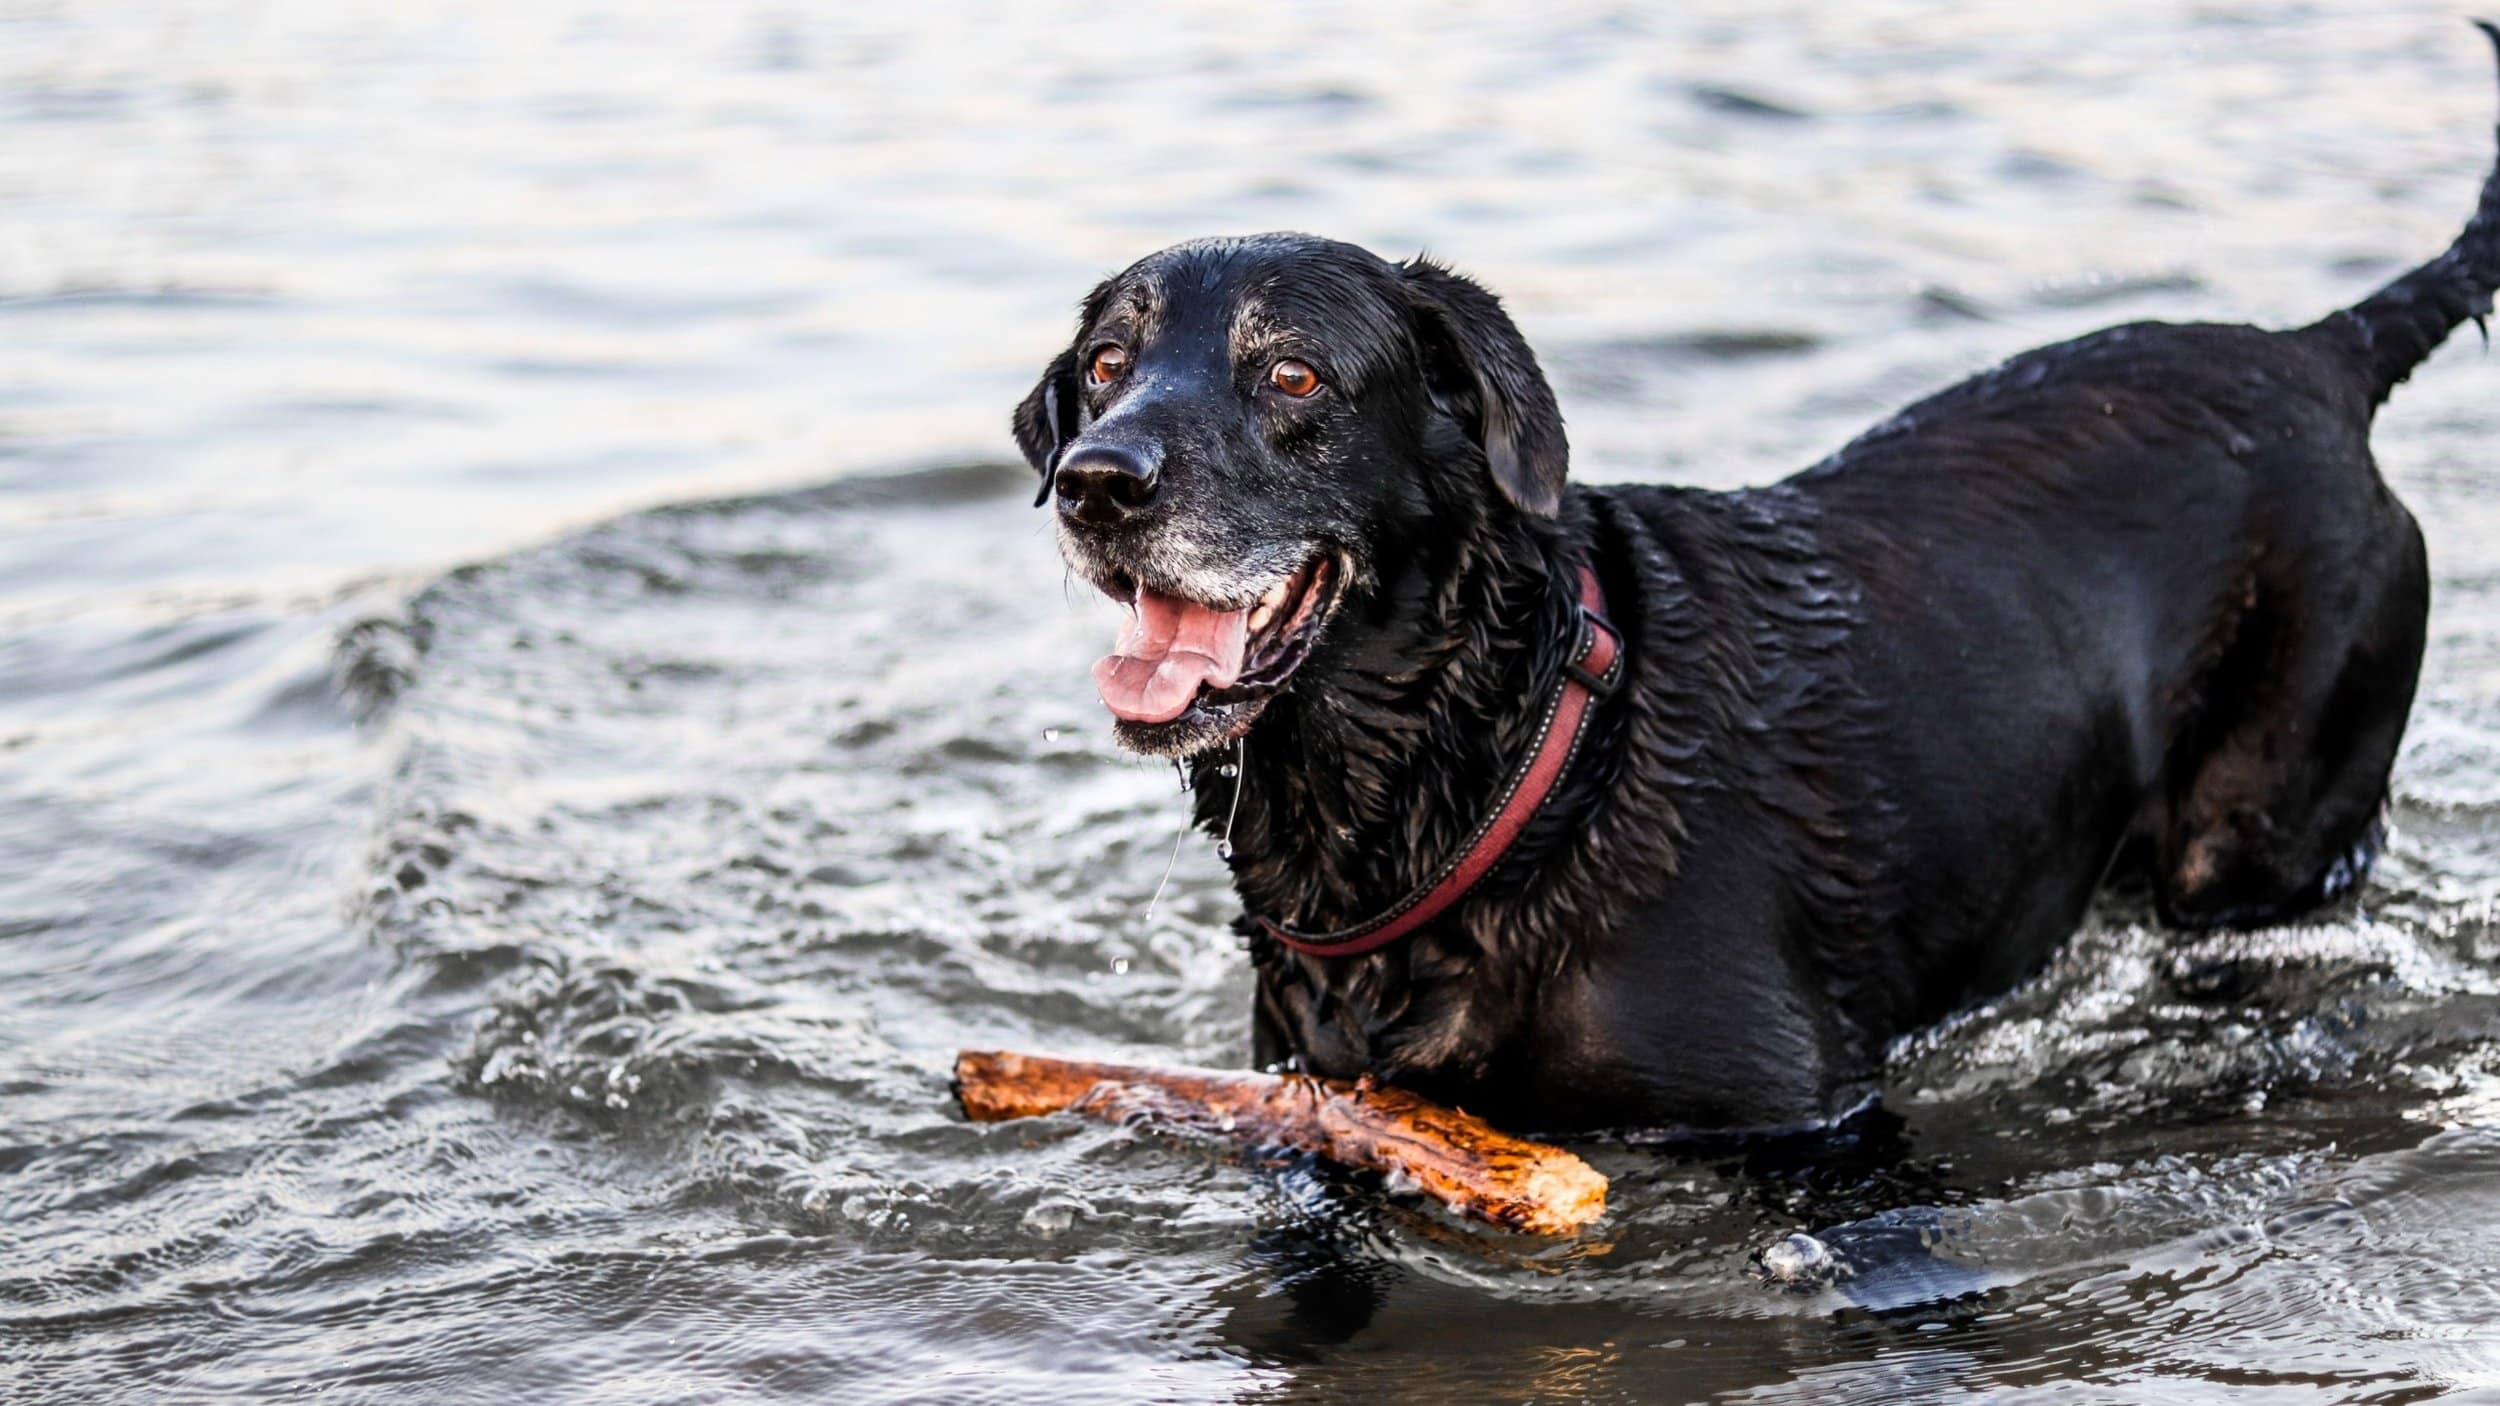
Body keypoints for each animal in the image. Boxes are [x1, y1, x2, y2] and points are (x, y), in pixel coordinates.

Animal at [1005, 35, 2490, 1125]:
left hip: (2263, 829)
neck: (1505, 759)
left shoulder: (1812, 1115)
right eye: (1104, 365)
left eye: (1293, 374)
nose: (1095, 481)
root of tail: (2320, 354)